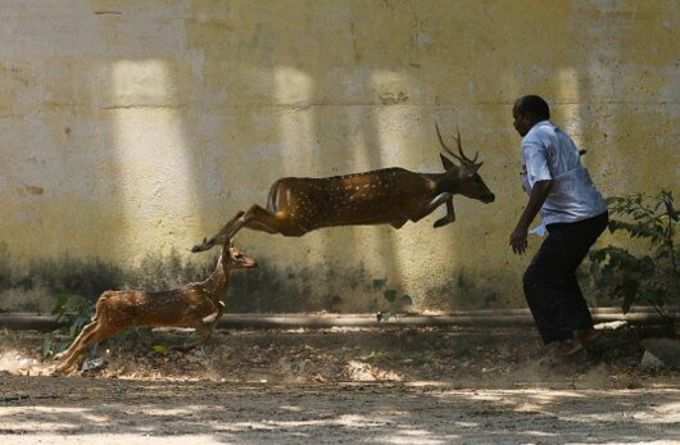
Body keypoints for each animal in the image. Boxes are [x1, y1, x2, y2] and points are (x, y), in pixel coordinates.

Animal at [53, 212, 255, 374]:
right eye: (238, 255)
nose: (255, 263)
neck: (210, 290)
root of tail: (106, 297)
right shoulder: (190, 315)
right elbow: (206, 330)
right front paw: (186, 346)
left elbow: (220, 311)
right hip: (115, 322)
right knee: (88, 338)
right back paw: (60, 367)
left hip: (104, 319)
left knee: (86, 329)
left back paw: (61, 357)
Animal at [191, 123, 494, 251]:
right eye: (476, 178)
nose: (491, 195)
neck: (425, 182)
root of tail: (279, 184)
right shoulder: (407, 213)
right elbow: (447, 193)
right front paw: (441, 222)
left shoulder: (399, 218)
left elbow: (447, 193)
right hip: (297, 220)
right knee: (250, 209)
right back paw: (209, 244)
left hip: (286, 222)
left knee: (245, 211)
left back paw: (206, 243)